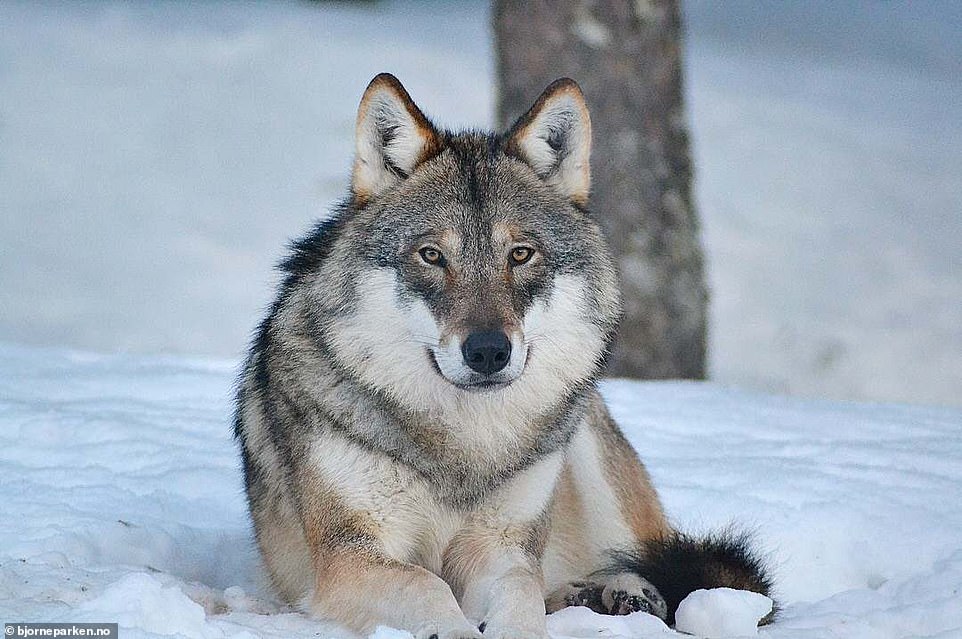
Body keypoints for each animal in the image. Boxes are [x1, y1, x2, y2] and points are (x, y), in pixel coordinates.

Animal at [234, 73, 773, 639]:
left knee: (642, 563)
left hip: (588, 447)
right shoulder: (348, 556)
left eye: (520, 254)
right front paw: (452, 629)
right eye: (432, 255)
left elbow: (520, 594)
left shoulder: (501, 548)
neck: (462, 447)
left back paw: (629, 594)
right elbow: (427, 584)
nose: (489, 350)